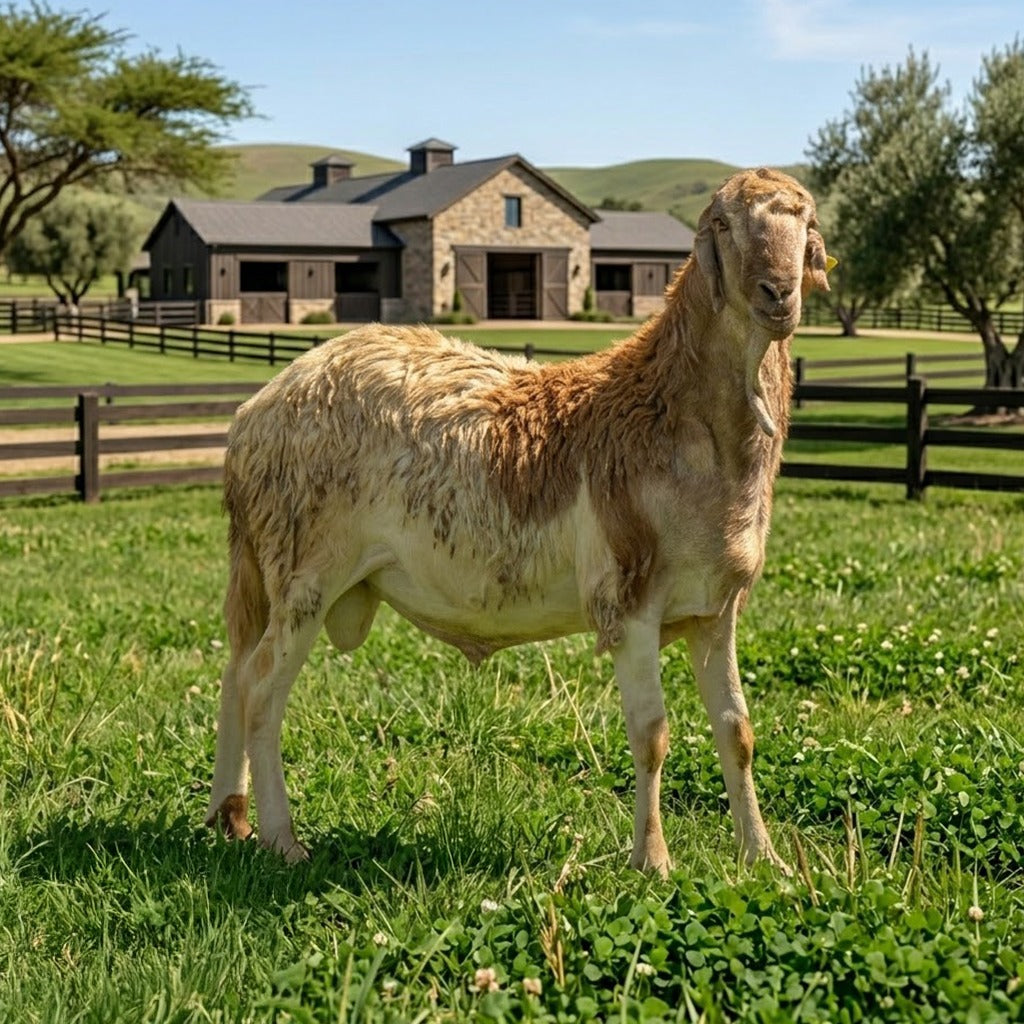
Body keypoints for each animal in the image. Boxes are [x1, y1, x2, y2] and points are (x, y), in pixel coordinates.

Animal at [205, 167, 833, 875]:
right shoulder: (628, 599)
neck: (679, 413)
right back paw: (282, 840)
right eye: (723, 223)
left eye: (807, 224)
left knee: (234, 673)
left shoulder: (715, 606)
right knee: (261, 690)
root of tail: (252, 414)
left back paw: (227, 817)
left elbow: (738, 732)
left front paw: (765, 859)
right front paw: (652, 861)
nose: (777, 293)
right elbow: (651, 736)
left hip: (270, 569)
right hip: (306, 567)